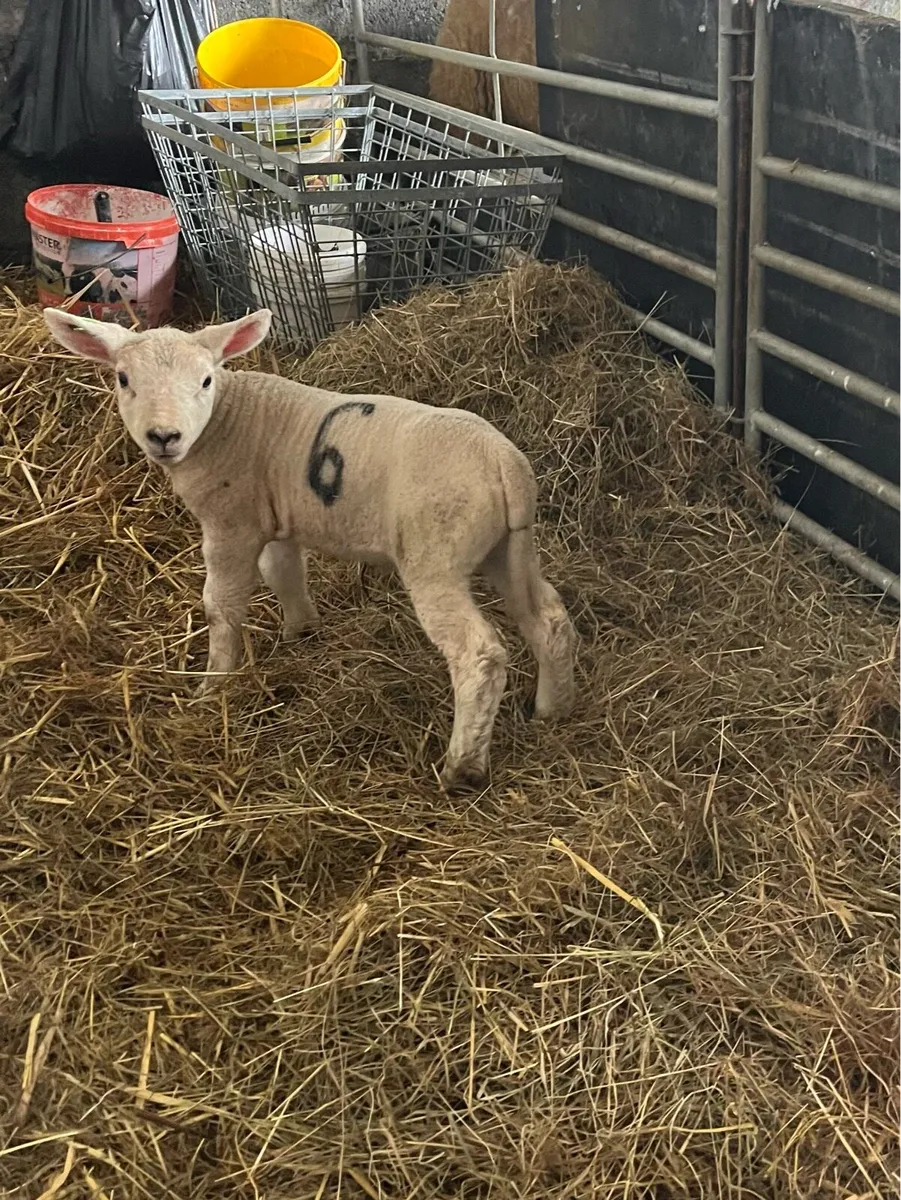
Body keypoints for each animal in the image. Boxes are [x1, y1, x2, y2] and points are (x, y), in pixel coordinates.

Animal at [43, 306, 576, 792]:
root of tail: (505, 462)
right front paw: (300, 632)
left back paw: (461, 769)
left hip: (436, 554)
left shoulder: (231, 522)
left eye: (206, 380)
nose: (163, 437)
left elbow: (222, 606)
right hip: (507, 546)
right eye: (124, 379)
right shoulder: (277, 516)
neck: (225, 421)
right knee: (547, 618)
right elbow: (284, 572)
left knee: (478, 654)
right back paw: (549, 711)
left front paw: (212, 687)